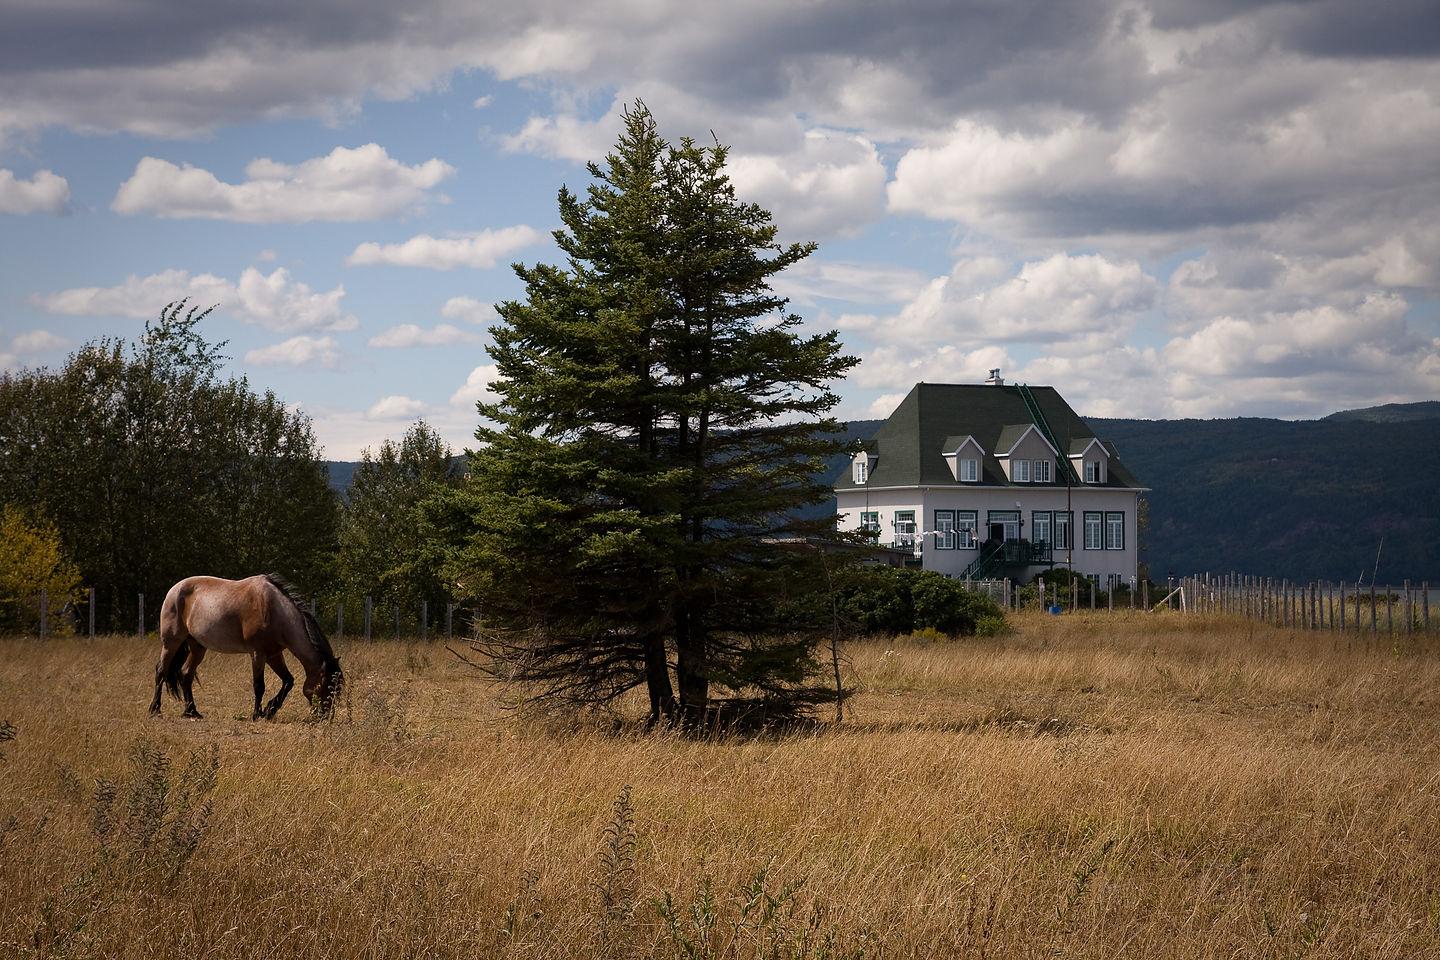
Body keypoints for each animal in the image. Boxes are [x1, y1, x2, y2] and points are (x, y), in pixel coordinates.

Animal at [150, 575, 344, 716]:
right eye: (326, 685)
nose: (326, 716)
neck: (274, 610)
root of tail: (174, 589)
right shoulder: (258, 654)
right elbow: (259, 685)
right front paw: (257, 713)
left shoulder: (274, 655)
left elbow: (288, 681)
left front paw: (270, 710)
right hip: (171, 642)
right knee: (161, 671)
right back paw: (155, 709)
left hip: (197, 646)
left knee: (185, 673)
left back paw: (192, 711)